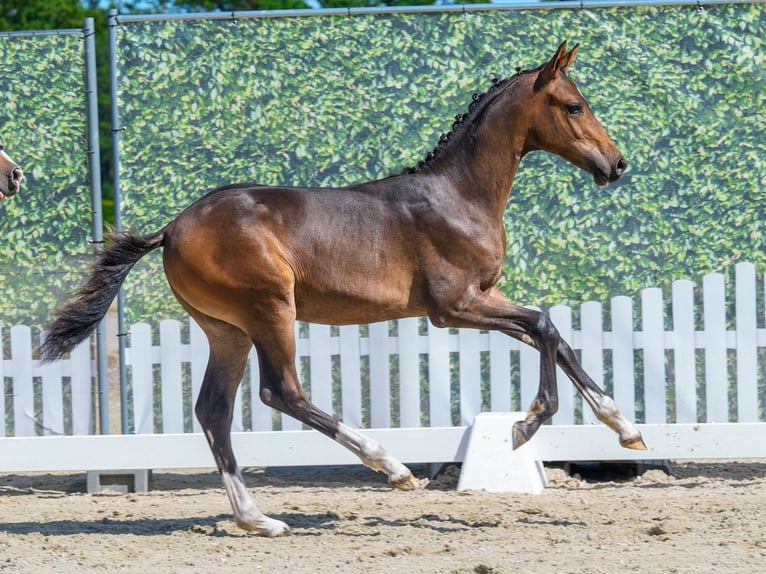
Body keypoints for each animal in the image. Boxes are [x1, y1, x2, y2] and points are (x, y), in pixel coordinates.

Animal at [41, 42, 646, 537]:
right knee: (280, 391)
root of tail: (171, 228)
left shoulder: (485, 298)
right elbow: (543, 326)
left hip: (226, 329)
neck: (459, 194)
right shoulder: (454, 305)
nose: (616, 164)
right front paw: (527, 425)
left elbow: (552, 334)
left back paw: (258, 520)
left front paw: (626, 430)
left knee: (214, 409)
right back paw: (392, 467)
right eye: (574, 105)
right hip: (269, 309)